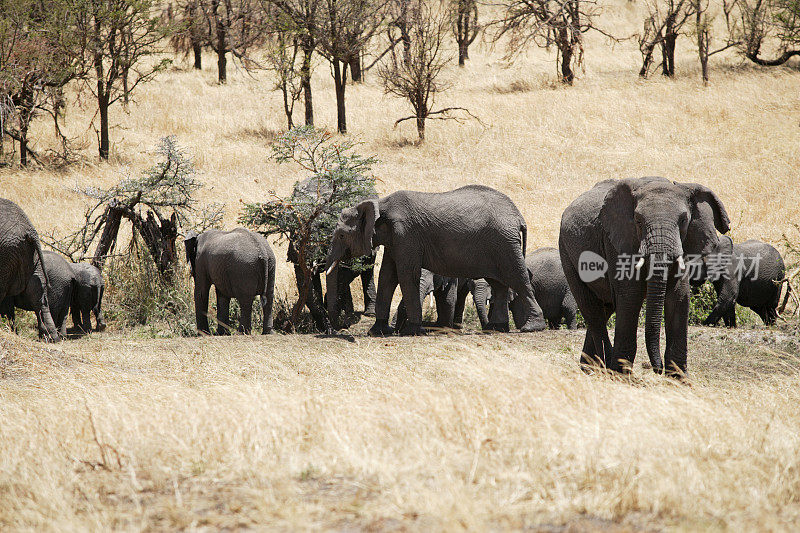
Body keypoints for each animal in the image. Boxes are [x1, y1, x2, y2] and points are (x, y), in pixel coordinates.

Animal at [290, 177, 376, 330]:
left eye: (323, 225)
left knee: (368, 267)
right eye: (290, 224)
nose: (329, 329)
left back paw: (370, 313)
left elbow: (345, 272)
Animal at [322, 183, 548, 332]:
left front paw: (412, 331)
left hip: (505, 244)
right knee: (499, 284)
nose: (338, 328)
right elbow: (387, 276)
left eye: (341, 235)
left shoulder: (406, 235)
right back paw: (495, 328)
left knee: (518, 279)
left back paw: (532, 327)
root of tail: (518, 216)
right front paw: (377, 331)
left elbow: (406, 275)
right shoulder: (395, 240)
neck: (380, 204)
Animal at [560, 177, 728, 376]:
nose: (657, 369)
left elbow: (678, 297)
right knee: (592, 309)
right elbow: (630, 297)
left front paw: (678, 378)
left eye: (683, 220)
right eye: (638, 221)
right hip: (566, 253)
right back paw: (605, 367)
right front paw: (621, 376)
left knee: (606, 307)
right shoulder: (618, 242)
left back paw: (590, 368)